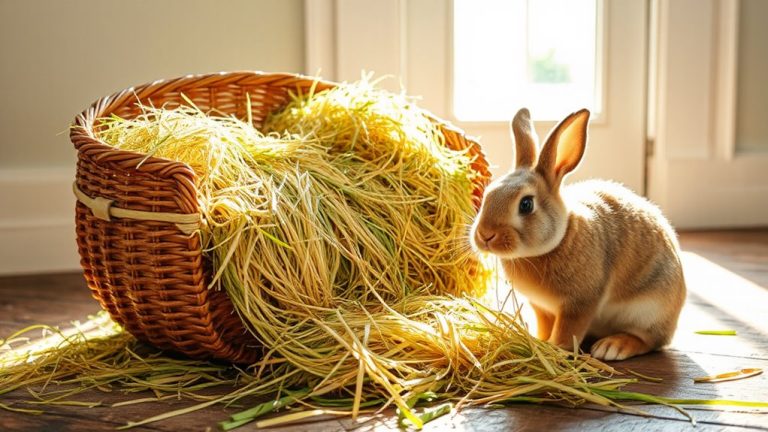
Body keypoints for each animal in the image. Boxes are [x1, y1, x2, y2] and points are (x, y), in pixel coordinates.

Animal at [470, 107, 686, 361]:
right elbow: (545, 324)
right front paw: (540, 340)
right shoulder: (542, 307)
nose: (485, 235)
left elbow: (568, 330)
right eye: (488, 194)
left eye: (525, 204)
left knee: (649, 341)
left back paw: (612, 347)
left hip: (648, 311)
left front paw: (556, 349)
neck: (558, 240)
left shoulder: (579, 304)